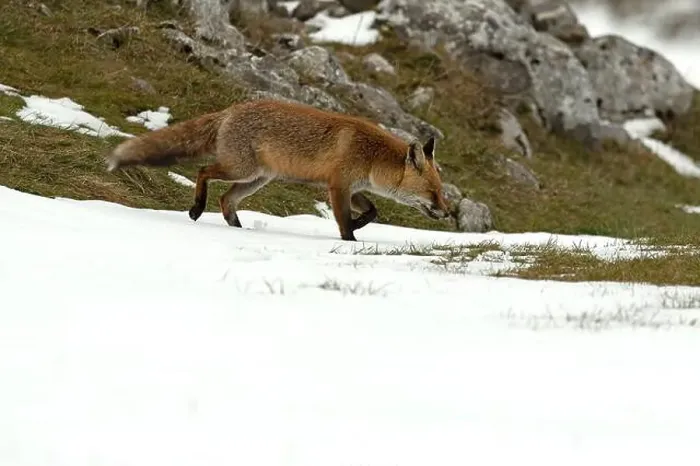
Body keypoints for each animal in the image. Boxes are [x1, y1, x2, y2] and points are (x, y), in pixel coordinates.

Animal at [105, 98, 450, 241]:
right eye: (433, 192)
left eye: (442, 193)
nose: (447, 213)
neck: (371, 156)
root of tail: (231, 109)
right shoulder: (338, 186)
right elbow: (344, 224)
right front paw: (351, 241)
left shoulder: (350, 187)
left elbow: (373, 211)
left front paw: (361, 224)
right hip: (240, 169)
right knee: (204, 171)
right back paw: (197, 208)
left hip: (256, 179)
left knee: (226, 200)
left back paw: (236, 227)